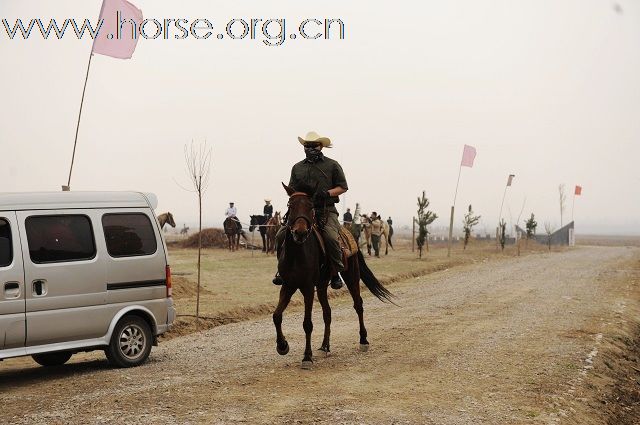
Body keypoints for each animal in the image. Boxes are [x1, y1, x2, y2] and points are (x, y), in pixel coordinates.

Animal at [272, 185, 392, 368]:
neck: (297, 254)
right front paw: (282, 345)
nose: (300, 232)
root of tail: (347, 233)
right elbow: (277, 316)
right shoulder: (288, 285)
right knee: (327, 312)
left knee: (358, 305)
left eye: (310, 206)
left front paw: (307, 357)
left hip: (351, 276)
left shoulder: (307, 288)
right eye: (290, 206)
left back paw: (363, 340)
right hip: (321, 285)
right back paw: (324, 346)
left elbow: (307, 324)